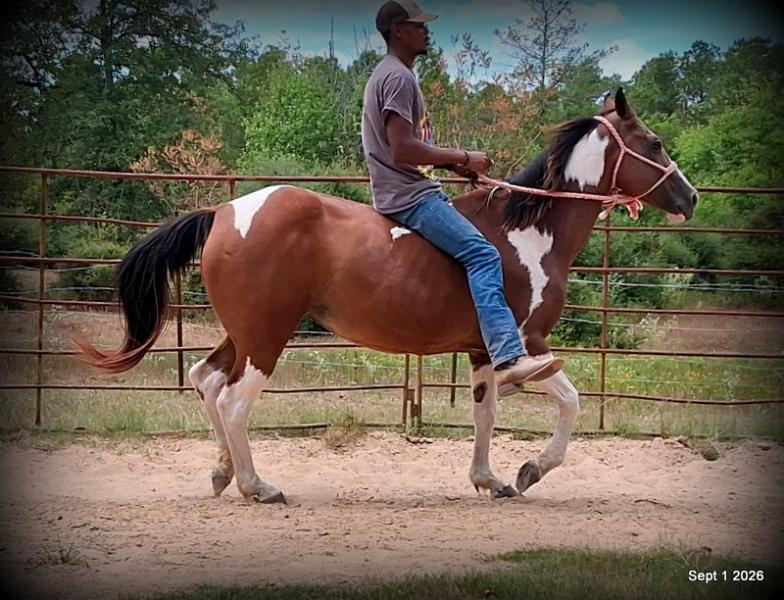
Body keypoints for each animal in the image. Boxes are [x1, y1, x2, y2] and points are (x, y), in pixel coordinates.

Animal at [78, 88, 698, 503]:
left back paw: (222, 473)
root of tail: (226, 211)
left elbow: (485, 414)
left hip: (243, 333)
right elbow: (570, 403)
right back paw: (258, 486)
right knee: (232, 400)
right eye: (655, 142)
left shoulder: (483, 353)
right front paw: (530, 470)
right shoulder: (529, 345)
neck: (529, 232)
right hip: (265, 337)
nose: (690, 196)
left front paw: (491, 479)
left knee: (205, 380)